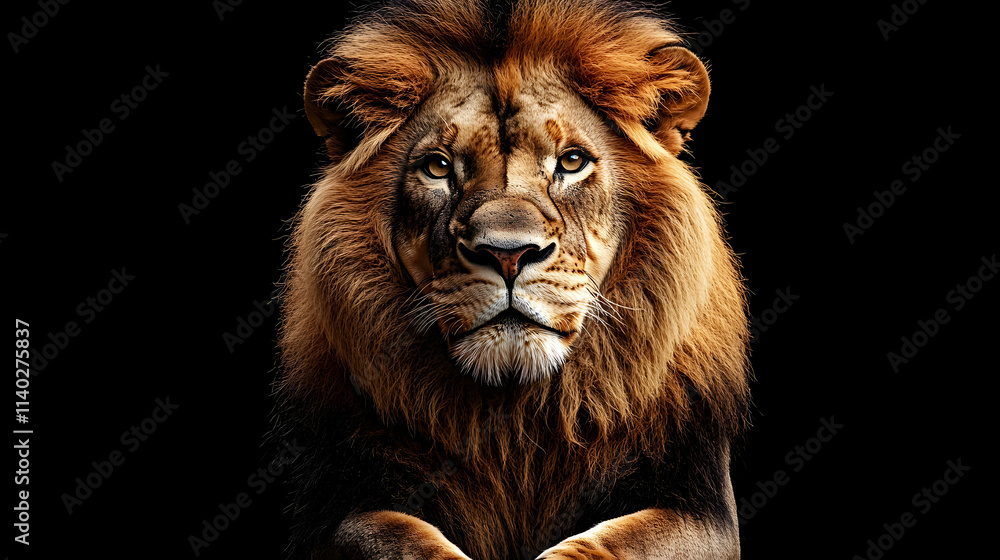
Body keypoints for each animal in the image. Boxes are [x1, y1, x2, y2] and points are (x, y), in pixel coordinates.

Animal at [274, 0, 750, 558]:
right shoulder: (337, 504)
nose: (507, 253)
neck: (514, 418)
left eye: (571, 161)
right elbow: (404, 540)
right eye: (438, 167)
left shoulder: (699, 507)